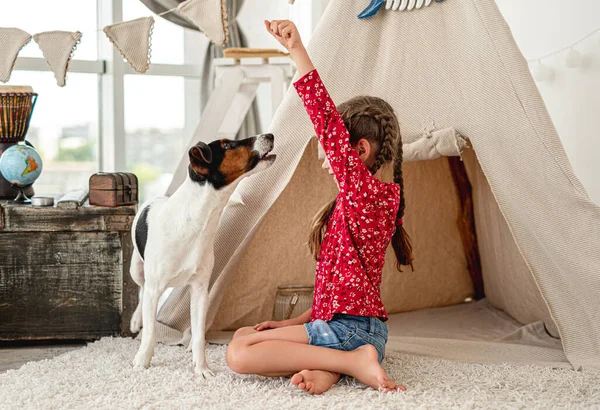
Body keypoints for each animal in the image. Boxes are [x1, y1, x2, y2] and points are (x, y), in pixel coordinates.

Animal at [130, 133, 276, 376]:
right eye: (228, 145)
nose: (270, 135)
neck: (194, 223)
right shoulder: (155, 288)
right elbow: (150, 333)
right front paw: (142, 361)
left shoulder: (200, 290)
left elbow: (199, 335)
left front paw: (201, 369)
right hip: (137, 271)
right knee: (141, 291)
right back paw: (135, 320)